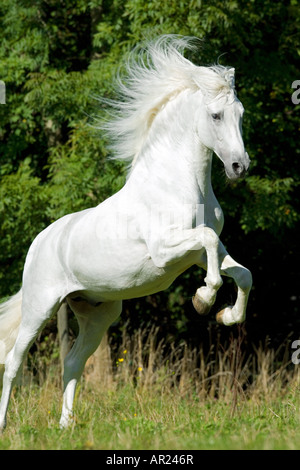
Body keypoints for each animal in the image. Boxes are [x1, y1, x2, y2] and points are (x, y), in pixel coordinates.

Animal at [0, 35, 252, 430]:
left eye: (240, 113)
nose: (240, 166)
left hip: (97, 313)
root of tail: (40, 242)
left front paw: (226, 316)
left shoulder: (199, 254)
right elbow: (210, 247)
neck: (180, 183)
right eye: (216, 115)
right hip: (40, 307)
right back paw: (5, 425)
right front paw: (203, 299)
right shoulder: (167, 251)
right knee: (13, 360)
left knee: (72, 362)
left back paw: (66, 426)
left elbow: (243, 274)